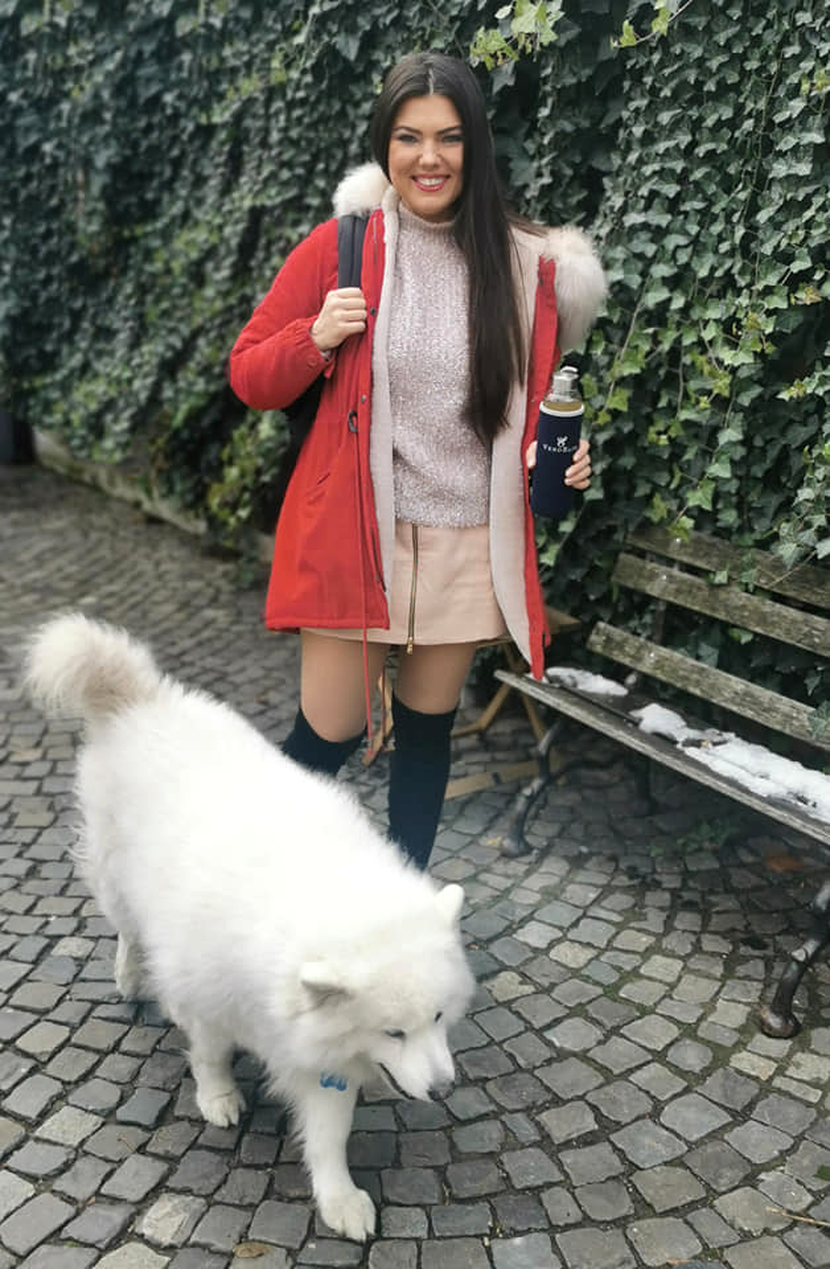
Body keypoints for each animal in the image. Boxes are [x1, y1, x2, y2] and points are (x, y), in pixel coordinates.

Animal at [25, 614, 475, 1241]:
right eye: (393, 1032)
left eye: (436, 1019)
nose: (443, 1089)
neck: (319, 892)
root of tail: (141, 698)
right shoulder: (210, 999)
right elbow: (210, 1054)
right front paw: (218, 1097)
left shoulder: (320, 1057)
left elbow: (329, 1133)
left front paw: (338, 1198)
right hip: (118, 881)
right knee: (129, 932)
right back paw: (131, 978)